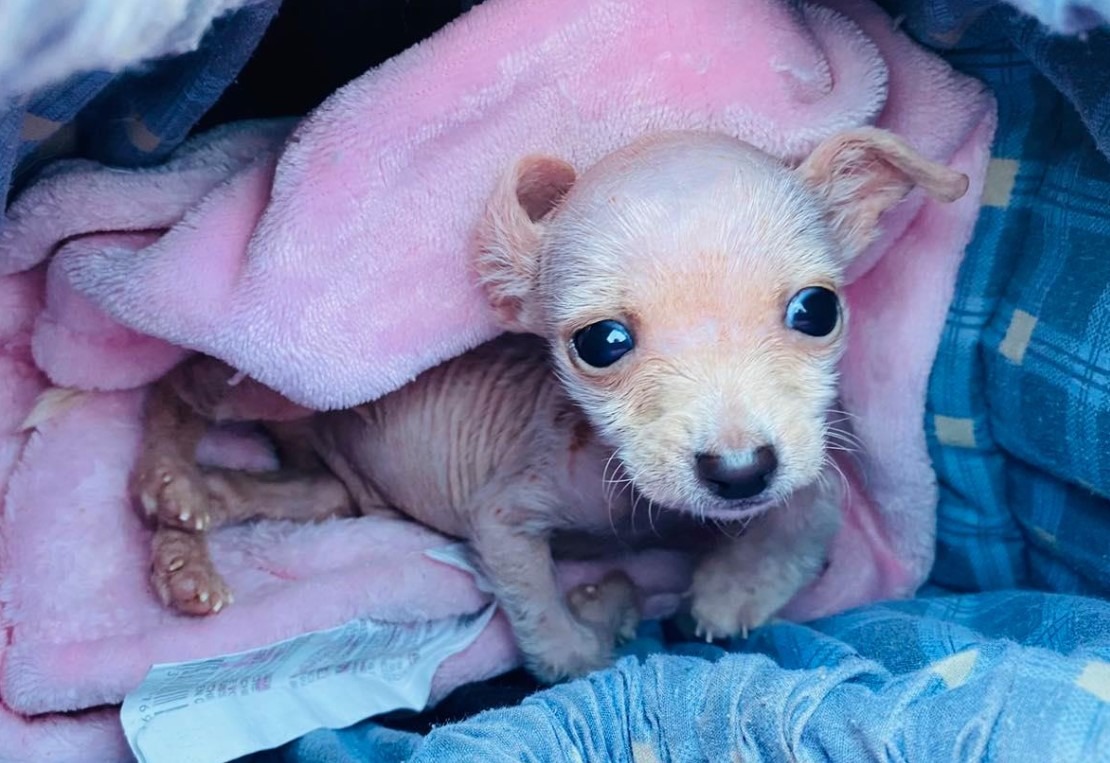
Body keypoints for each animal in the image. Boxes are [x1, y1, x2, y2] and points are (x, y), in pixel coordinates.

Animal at [129, 128, 967, 684]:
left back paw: (186, 544)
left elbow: (817, 500)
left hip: (328, 484)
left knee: (277, 491)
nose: (738, 471)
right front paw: (596, 624)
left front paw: (732, 590)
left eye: (816, 311)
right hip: (277, 381)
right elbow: (550, 628)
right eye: (601, 342)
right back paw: (168, 480)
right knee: (183, 385)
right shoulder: (504, 511)